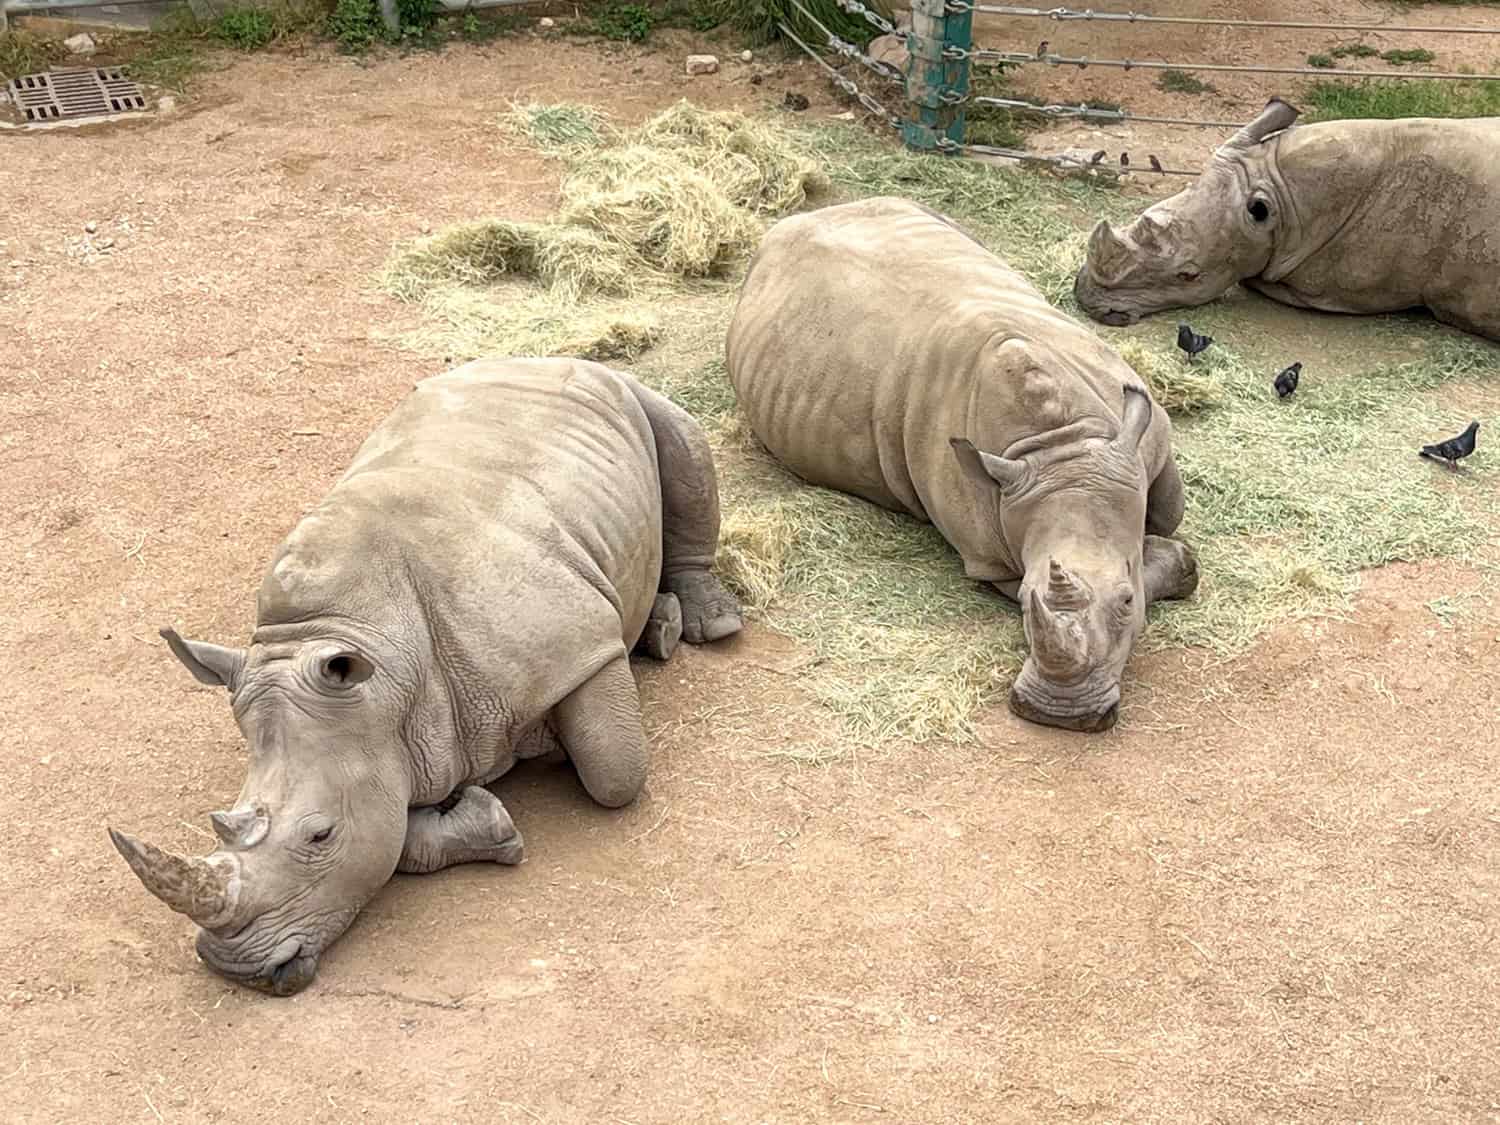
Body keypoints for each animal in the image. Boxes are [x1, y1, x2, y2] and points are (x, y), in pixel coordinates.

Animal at [108, 357, 743, 995]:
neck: (386, 671)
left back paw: (697, 627)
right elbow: (392, 829)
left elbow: (615, 769)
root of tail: (543, 359)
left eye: (321, 836)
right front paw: (485, 817)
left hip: (629, 393)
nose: (236, 968)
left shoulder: (581, 645)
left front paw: (555, 753)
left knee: (682, 438)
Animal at [725, 196, 1198, 733]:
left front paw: (1174, 561)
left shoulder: (1145, 443)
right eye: (1022, 602)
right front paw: (1179, 564)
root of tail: (785, 228)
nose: (1060, 714)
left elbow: (1169, 512)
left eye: (1125, 600)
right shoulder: (990, 556)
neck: (1063, 446)